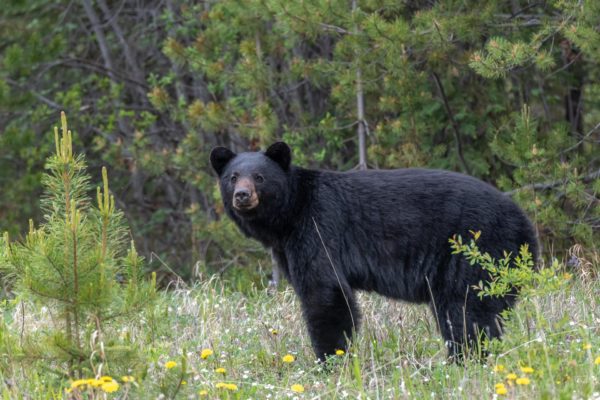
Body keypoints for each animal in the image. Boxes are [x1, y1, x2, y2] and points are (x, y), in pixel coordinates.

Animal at [210, 142, 540, 360]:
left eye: (259, 177)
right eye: (232, 177)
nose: (242, 195)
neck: (290, 214)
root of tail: (524, 223)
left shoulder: (318, 229)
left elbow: (325, 294)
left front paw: (330, 359)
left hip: (476, 250)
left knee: (467, 312)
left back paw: (466, 359)